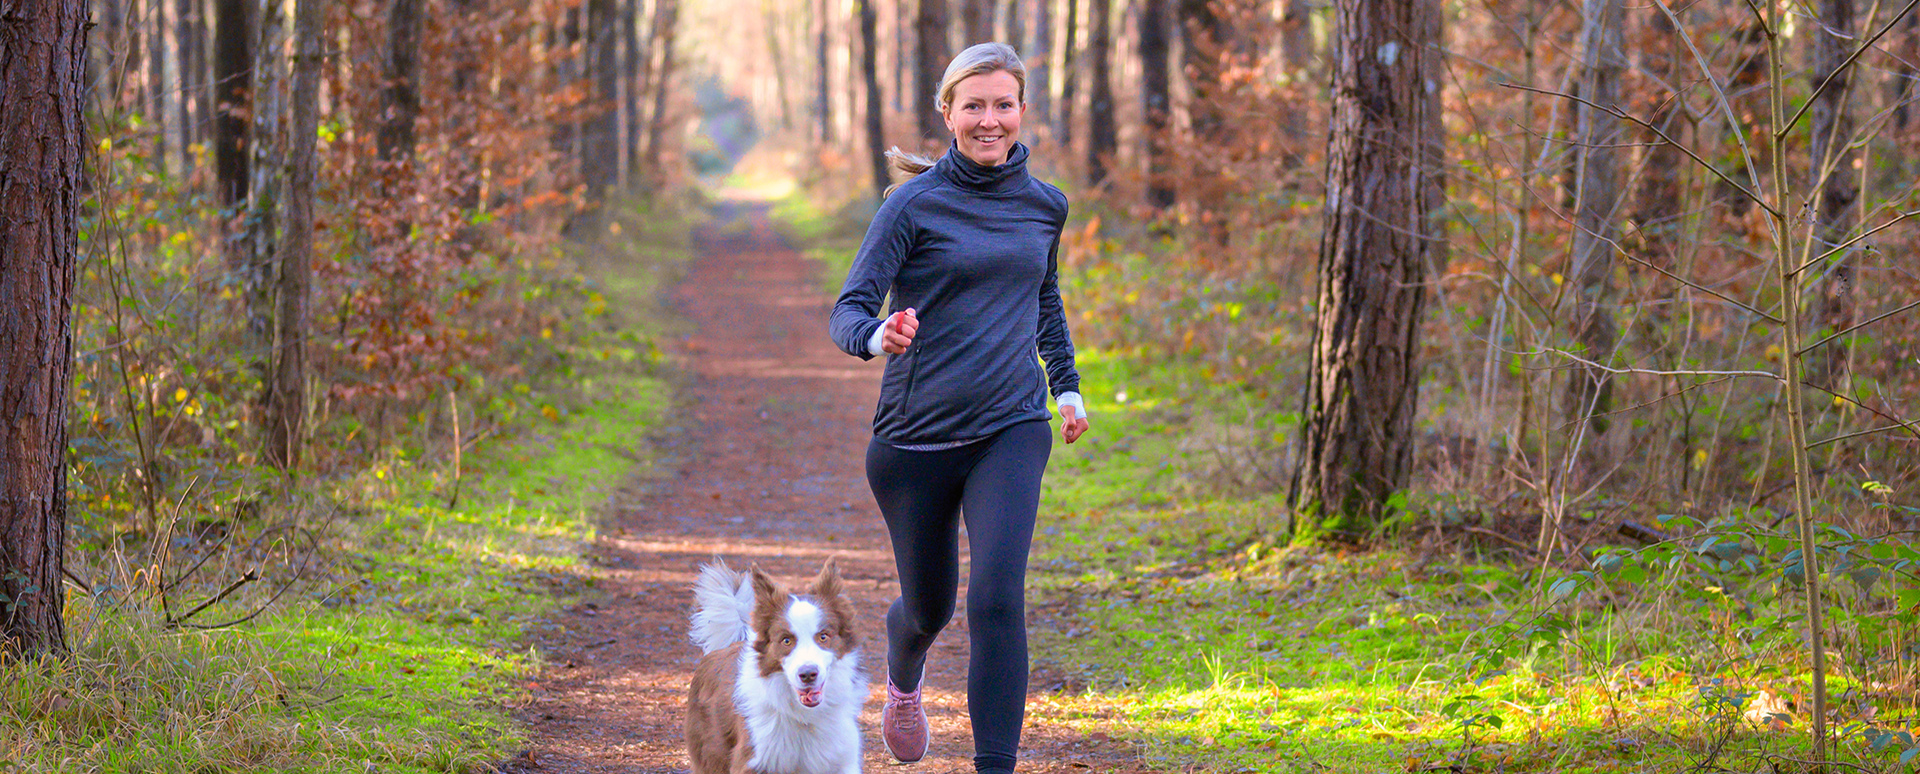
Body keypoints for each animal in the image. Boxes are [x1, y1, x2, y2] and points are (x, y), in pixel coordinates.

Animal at [687, 556, 867, 774]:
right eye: (786, 640)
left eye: (823, 636)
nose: (808, 674)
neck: (804, 717)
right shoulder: (752, 759)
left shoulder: (841, 759)